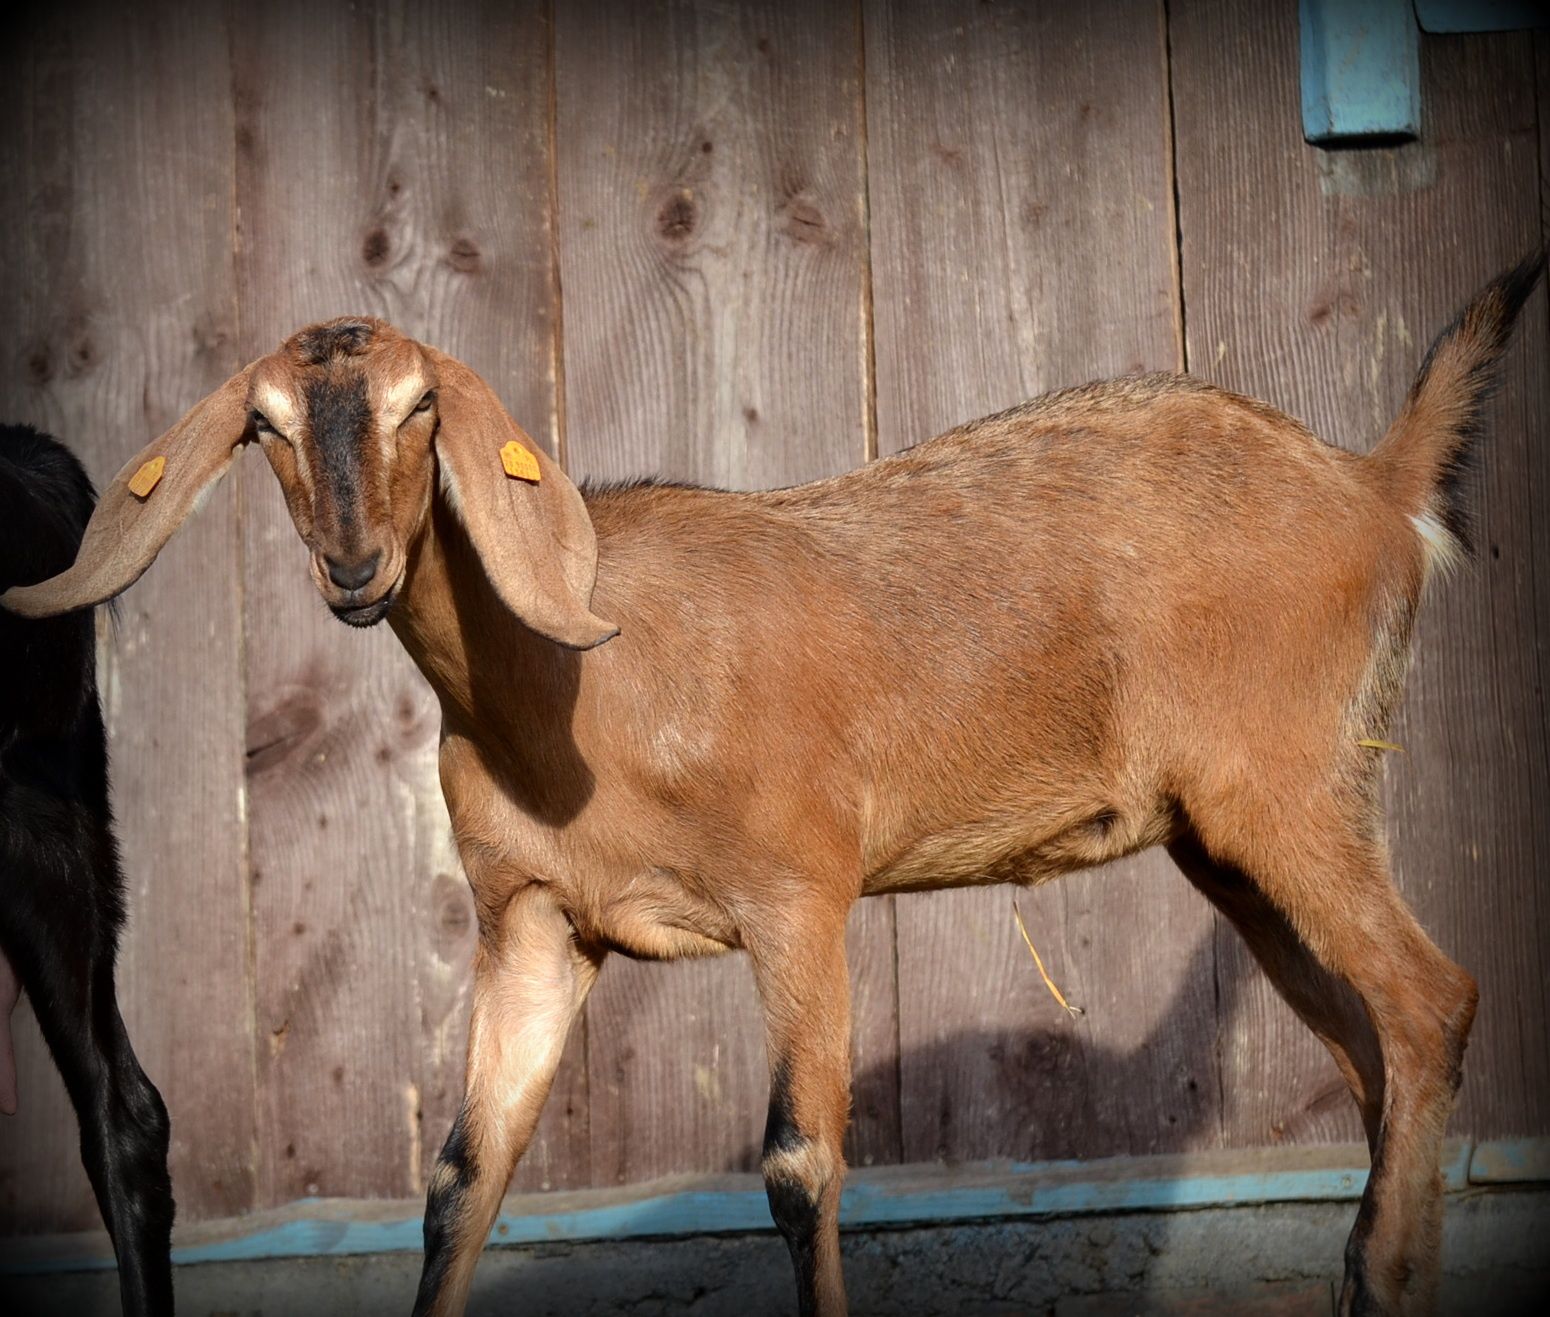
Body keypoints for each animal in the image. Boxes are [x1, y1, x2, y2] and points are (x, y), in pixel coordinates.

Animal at [3, 257, 1537, 1313]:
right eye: (263, 423)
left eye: (420, 403)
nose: (354, 569)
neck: (578, 683)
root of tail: (1373, 483)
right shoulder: (533, 924)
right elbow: (460, 1178)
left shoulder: (800, 892)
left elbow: (798, 1167)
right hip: (1230, 840)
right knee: (1376, 1052)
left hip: (1288, 781)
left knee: (1429, 1002)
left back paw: (1381, 1278)